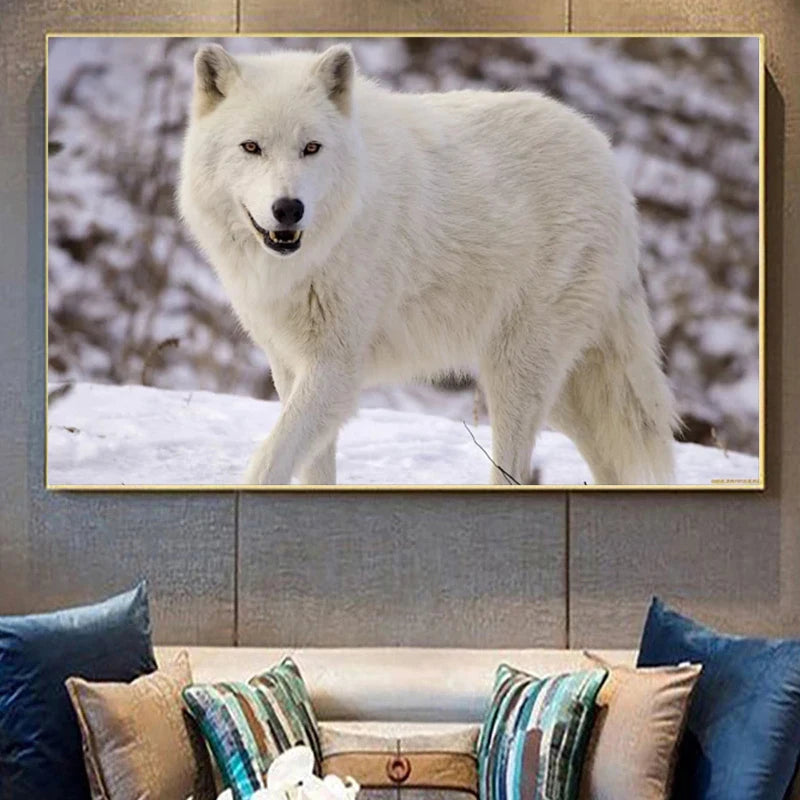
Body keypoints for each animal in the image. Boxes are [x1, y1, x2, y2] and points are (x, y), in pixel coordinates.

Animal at [179, 42, 678, 486]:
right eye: (251, 147)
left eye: (311, 148)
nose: (288, 209)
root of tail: (609, 162)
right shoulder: (289, 365)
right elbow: (312, 467)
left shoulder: (336, 367)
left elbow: (270, 459)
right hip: (563, 392)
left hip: (517, 371)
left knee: (513, 469)